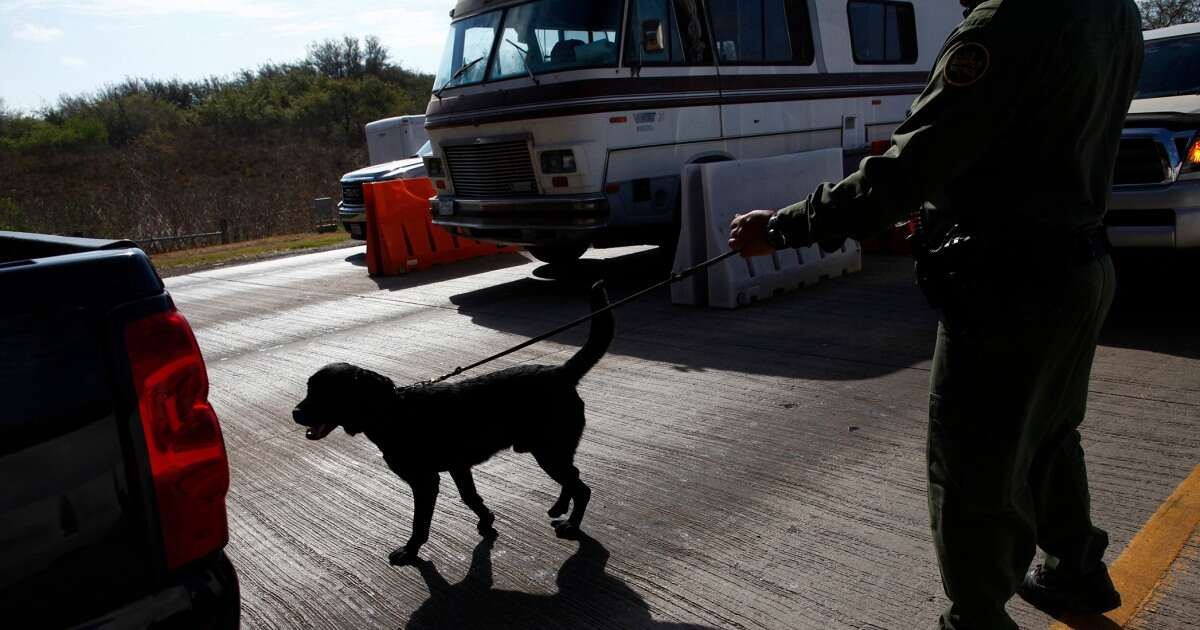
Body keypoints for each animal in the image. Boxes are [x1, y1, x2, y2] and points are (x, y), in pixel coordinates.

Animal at [289, 279, 609, 564]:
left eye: (327, 394)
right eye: (309, 388)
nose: (295, 413)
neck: (391, 411)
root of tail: (562, 372)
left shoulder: (425, 481)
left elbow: (420, 522)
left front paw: (410, 551)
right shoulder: (458, 467)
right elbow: (471, 497)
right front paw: (487, 520)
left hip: (549, 450)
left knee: (581, 486)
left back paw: (572, 525)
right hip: (550, 450)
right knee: (573, 476)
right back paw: (559, 507)